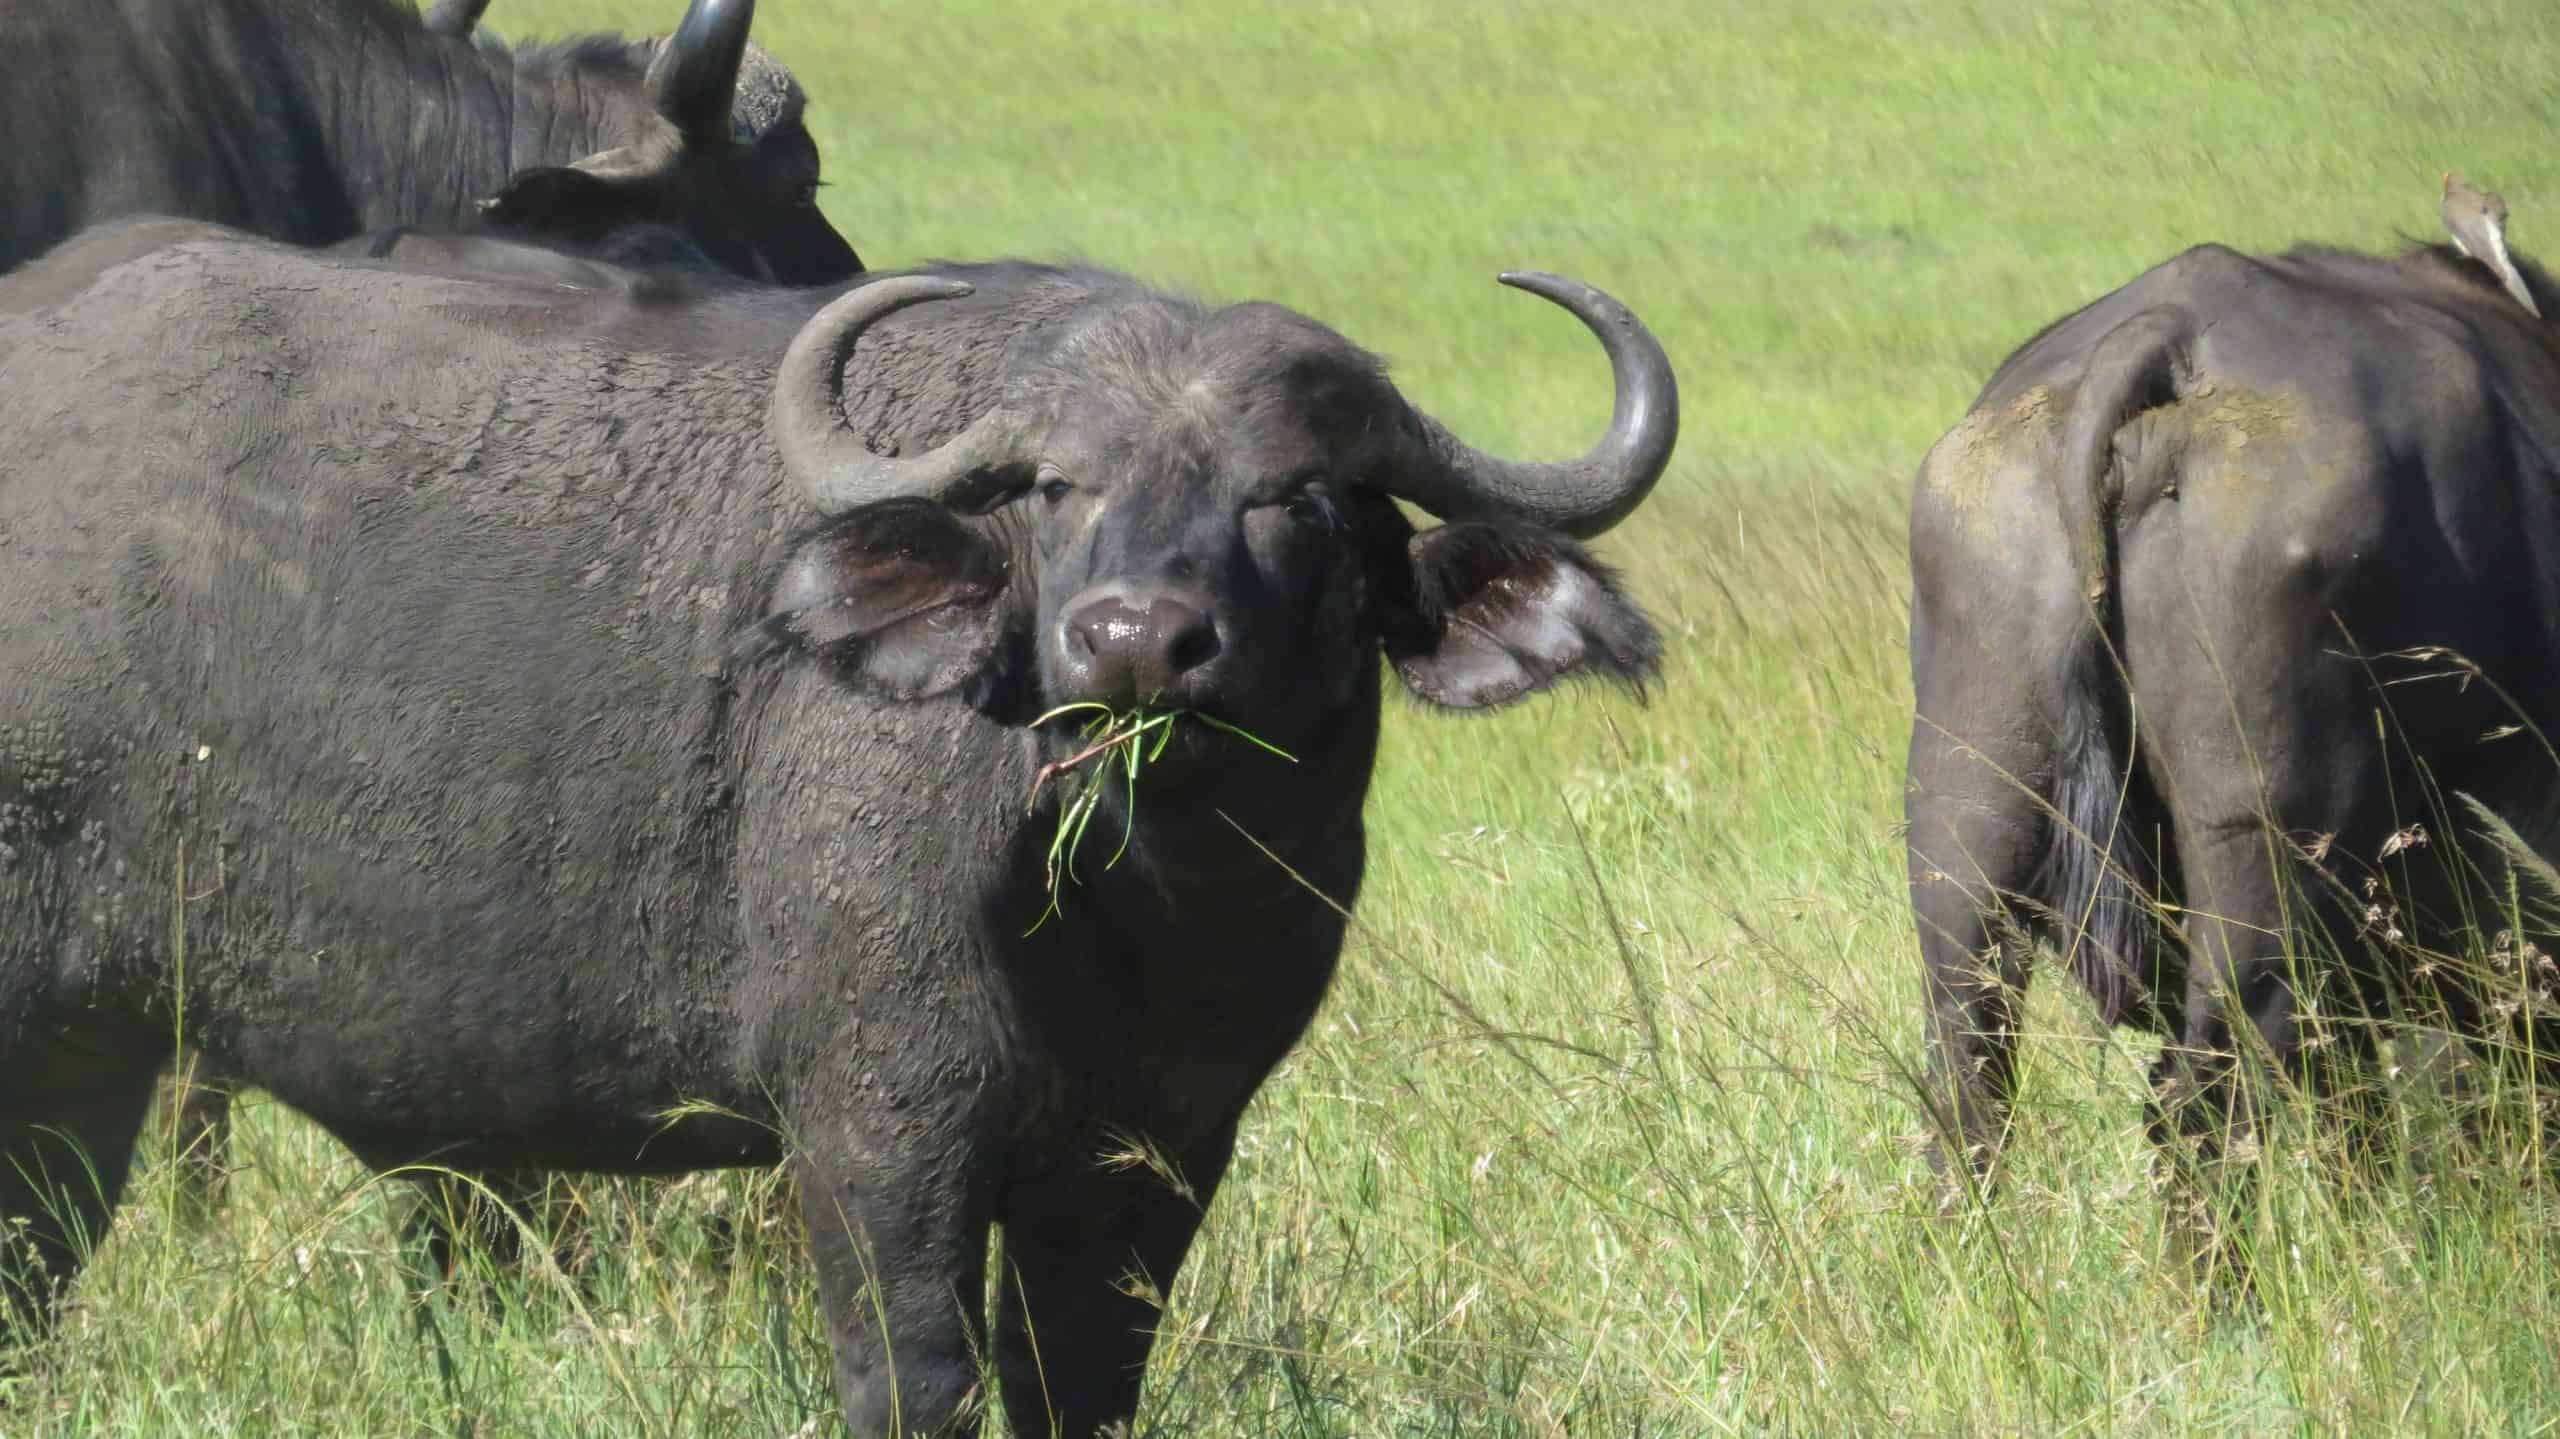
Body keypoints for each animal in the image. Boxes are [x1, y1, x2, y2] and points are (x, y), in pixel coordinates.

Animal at [0, 219, 1676, 1435]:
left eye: (1300, 498)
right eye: (1057, 486)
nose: (1134, 640)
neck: (1124, 904)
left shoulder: (1164, 1145)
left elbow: (1081, 1382)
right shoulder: (882, 1125)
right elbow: (916, 1378)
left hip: (91, 1061)